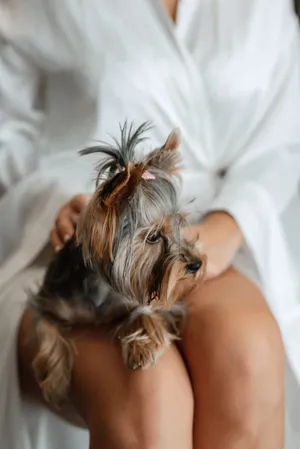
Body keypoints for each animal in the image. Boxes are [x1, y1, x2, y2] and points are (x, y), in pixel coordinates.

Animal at [29, 121, 205, 402]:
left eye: (180, 224)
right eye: (154, 236)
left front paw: (142, 347)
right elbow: (47, 328)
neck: (101, 285)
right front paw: (54, 381)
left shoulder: (144, 292)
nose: (196, 264)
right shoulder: (50, 299)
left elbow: (146, 312)